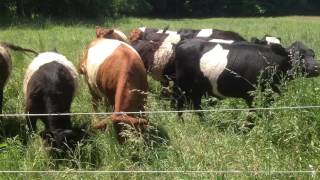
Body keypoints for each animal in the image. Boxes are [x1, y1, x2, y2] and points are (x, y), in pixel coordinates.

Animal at [175, 38, 320, 116]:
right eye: (296, 56)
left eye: (313, 55)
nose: (317, 67)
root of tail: (184, 42)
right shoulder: (252, 95)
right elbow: (252, 117)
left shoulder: (270, 95)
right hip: (182, 86)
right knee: (180, 104)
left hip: (197, 89)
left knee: (197, 106)